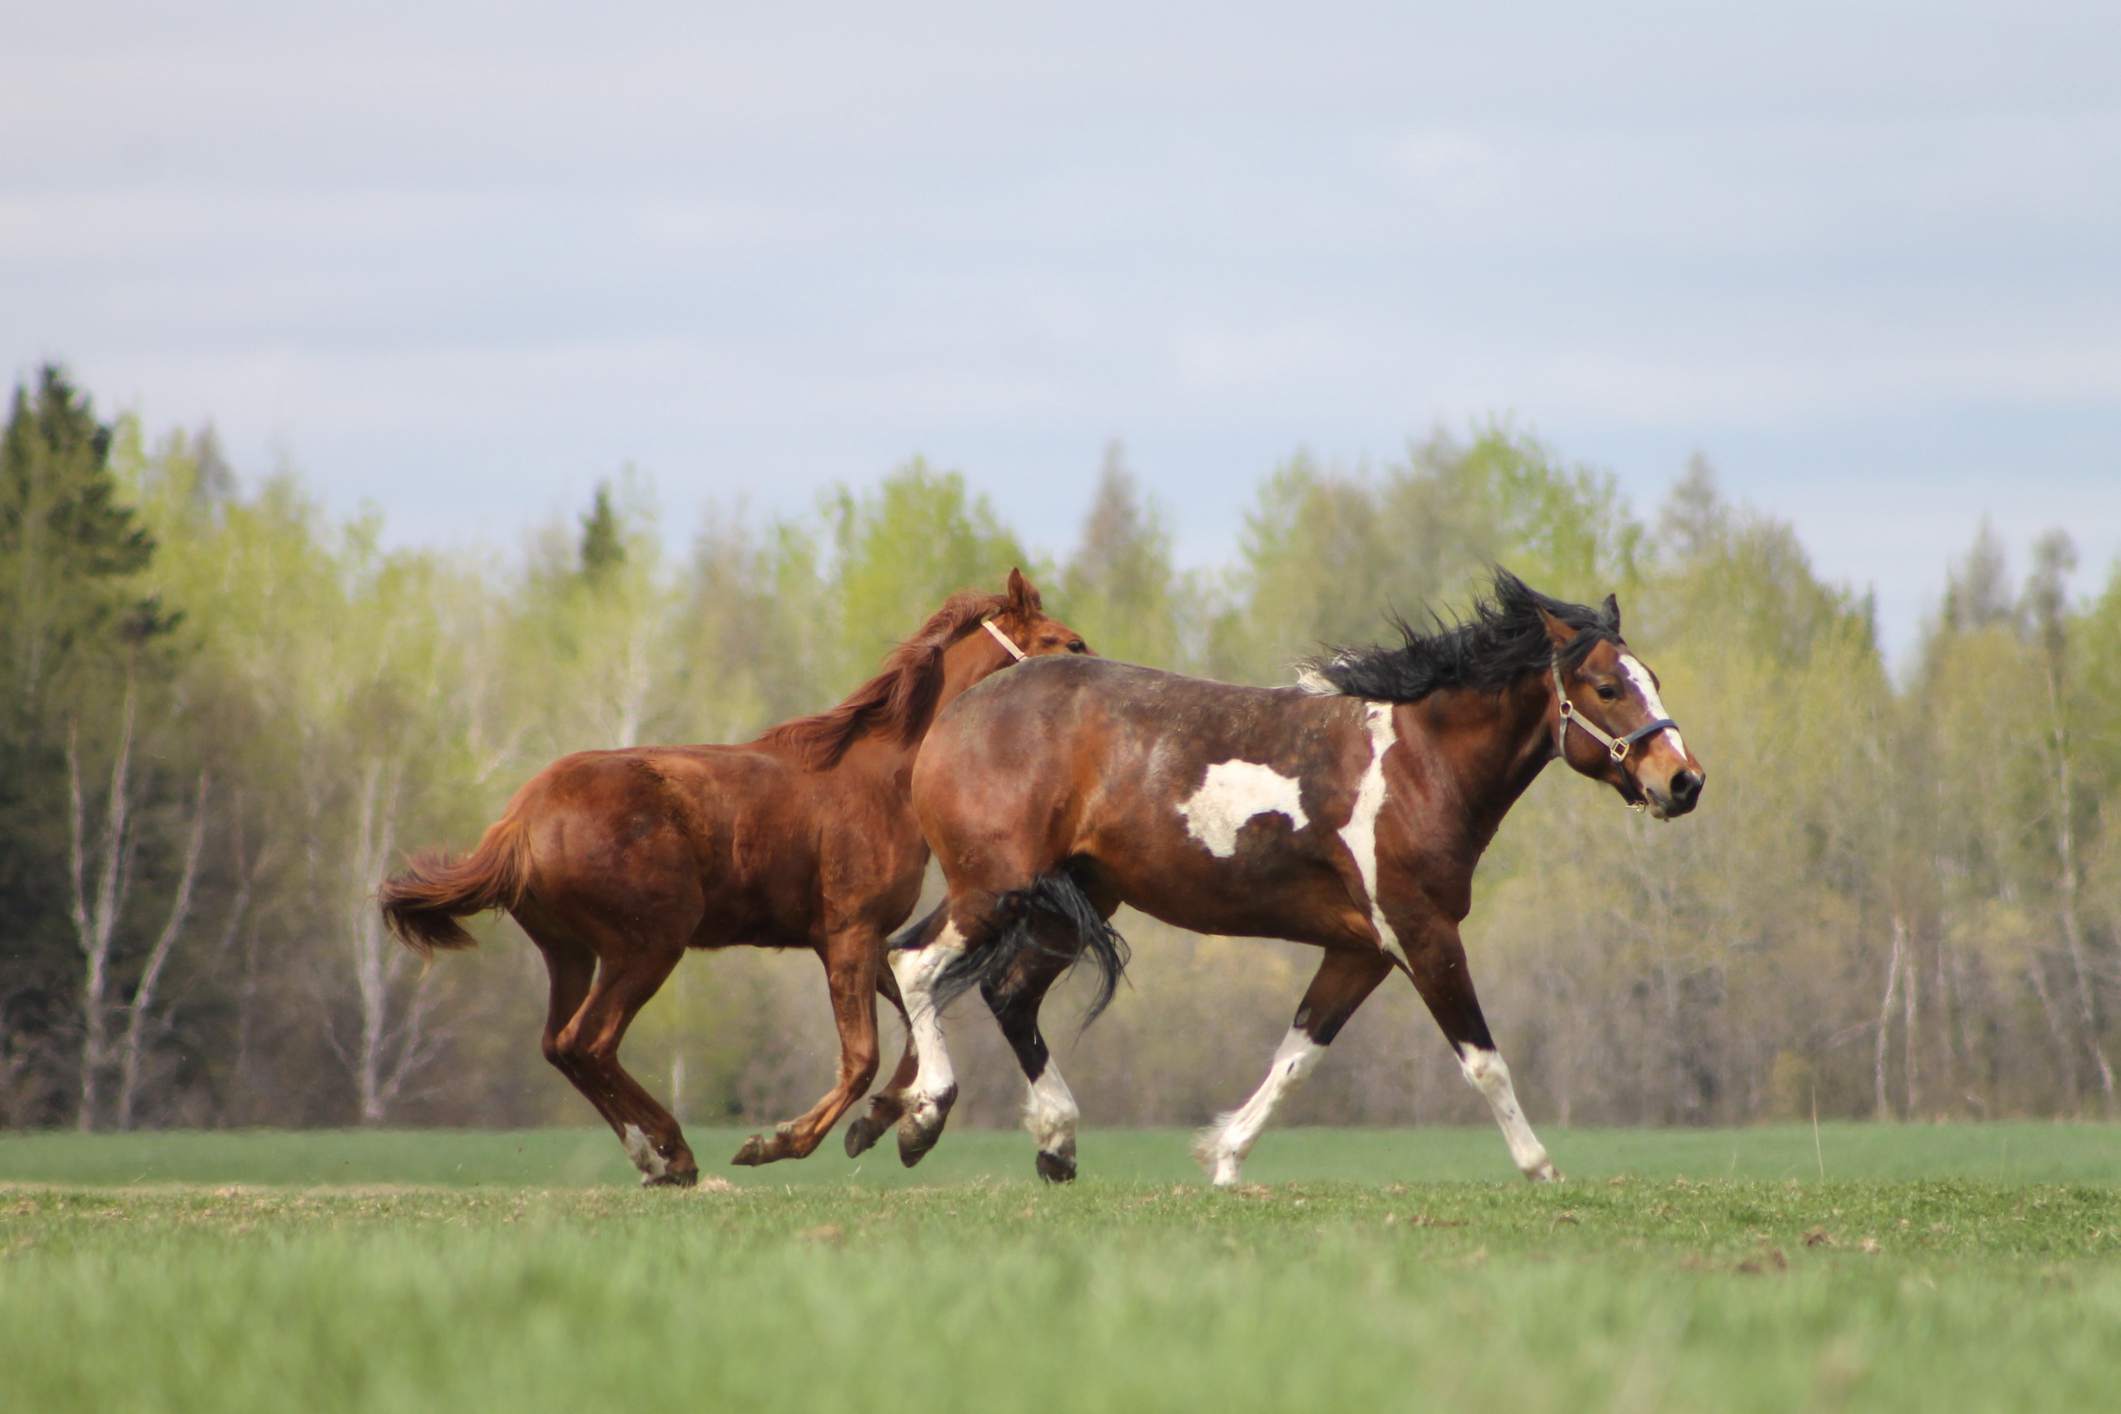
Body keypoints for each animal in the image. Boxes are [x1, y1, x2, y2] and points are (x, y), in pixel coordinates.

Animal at [375, 568, 1094, 1187]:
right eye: (1067, 643)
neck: (882, 777)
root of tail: (519, 822)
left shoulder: (859, 942)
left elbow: (909, 1035)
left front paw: (888, 1120)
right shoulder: (848, 934)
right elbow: (862, 1054)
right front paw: (779, 1142)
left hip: (571, 952)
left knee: (560, 1044)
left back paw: (656, 1156)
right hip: (647, 946)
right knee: (589, 1041)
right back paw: (671, 1153)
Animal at [861, 572, 1705, 1187]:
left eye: (1653, 677)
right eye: (1605, 687)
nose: (1683, 781)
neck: (1416, 763)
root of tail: (958, 715)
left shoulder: (1360, 950)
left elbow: (1298, 1056)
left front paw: (1224, 1161)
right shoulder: (1422, 935)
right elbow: (1482, 1060)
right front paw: (1541, 1171)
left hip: (1063, 902)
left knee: (1004, 994)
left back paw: (1050, 1143)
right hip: (993, 886)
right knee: (913, 963)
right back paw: (923, 1116)